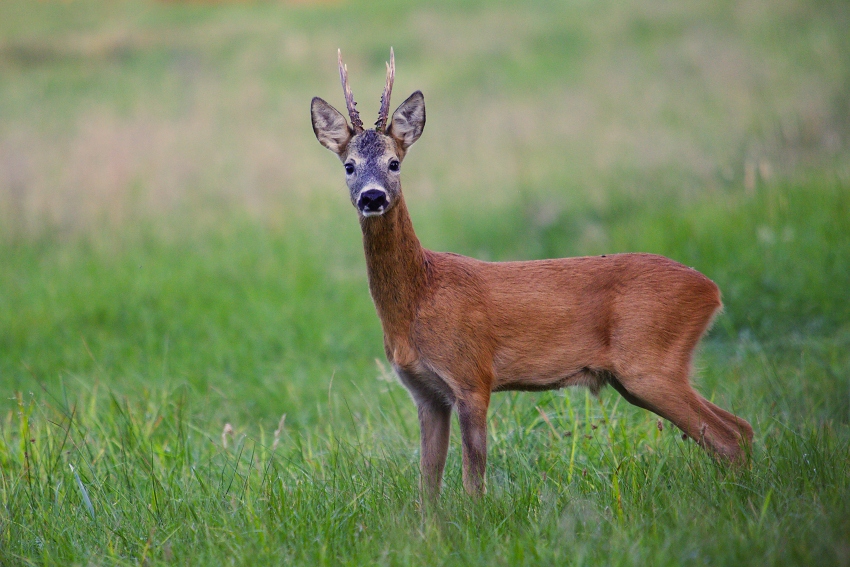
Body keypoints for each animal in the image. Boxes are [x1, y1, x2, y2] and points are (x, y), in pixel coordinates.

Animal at [310, 49, 753, 498]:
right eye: (349, 166)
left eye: (394, 162)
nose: (373, 197)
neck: (421, 296)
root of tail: (711, 290)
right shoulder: (426, 394)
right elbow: (427, 485)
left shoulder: (473, 376)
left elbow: (473, 480)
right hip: (640, 376)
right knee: (740, 427)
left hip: (650, 363)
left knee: (728, 436)